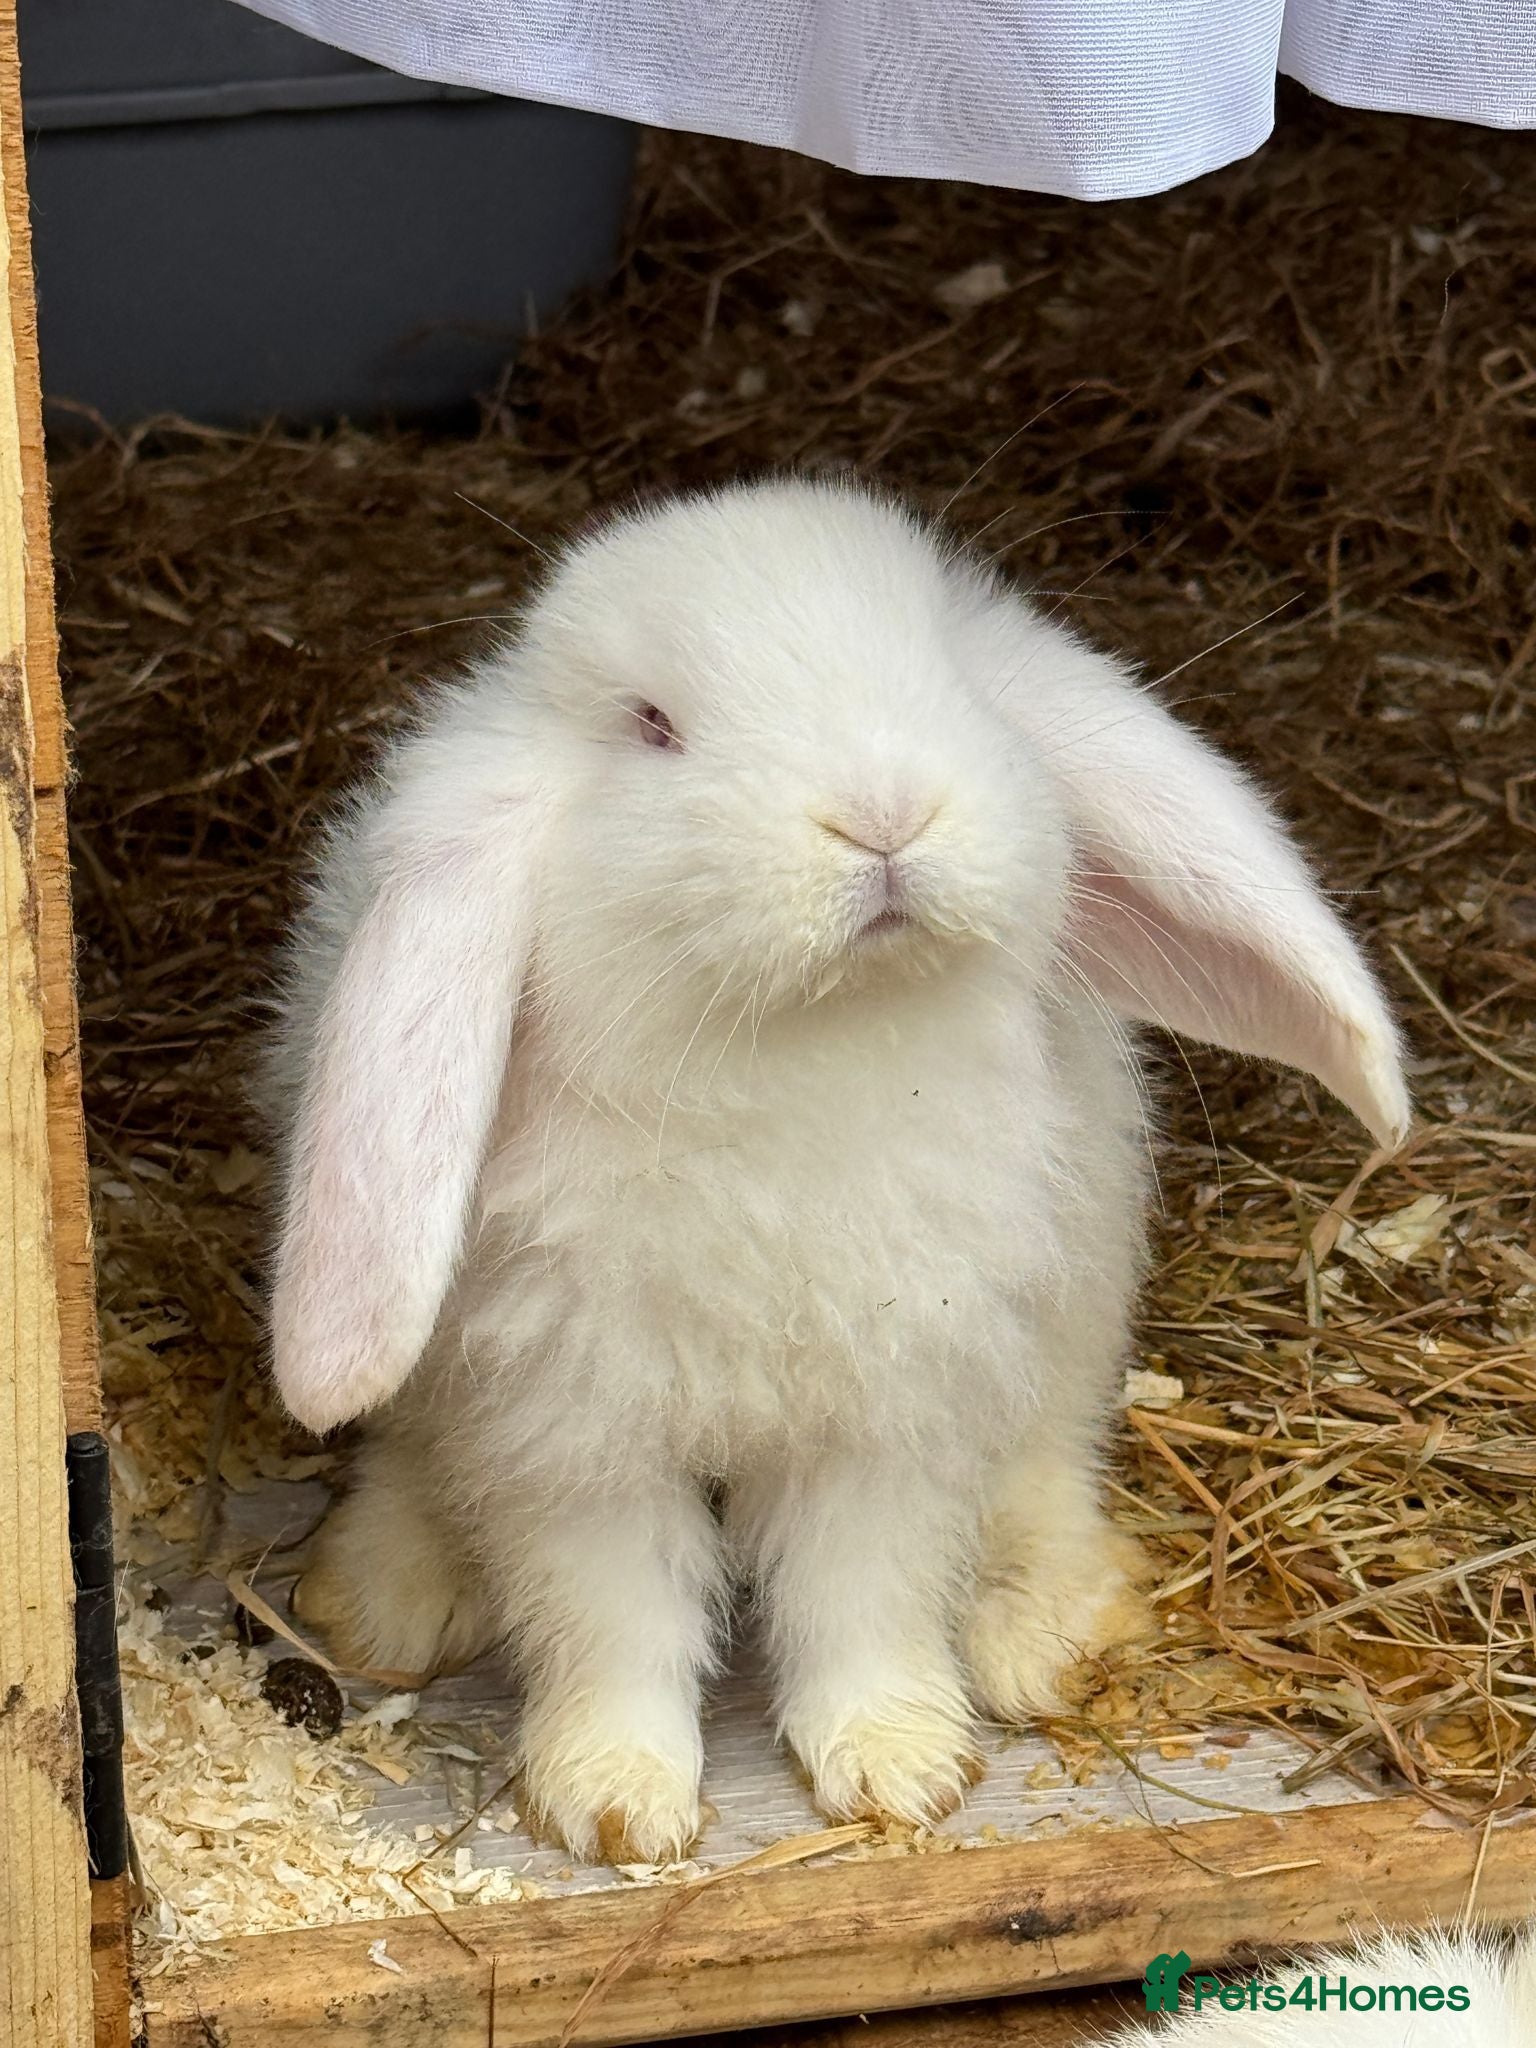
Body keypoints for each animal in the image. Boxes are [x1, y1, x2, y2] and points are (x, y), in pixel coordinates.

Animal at [267, 476, 1408, 1863]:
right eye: (653, 725)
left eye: (948, 676)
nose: (885, 810)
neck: (806, 1048)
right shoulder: (573, 1430)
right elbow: (615, 1617)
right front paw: (617, 1804)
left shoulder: (894, 1413)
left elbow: (859, 1594)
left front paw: (901, 1766)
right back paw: (386, 1590)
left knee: (1050, 1457)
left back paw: (1043, 1631)